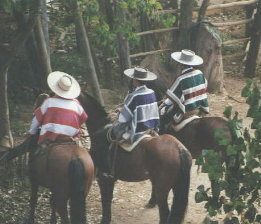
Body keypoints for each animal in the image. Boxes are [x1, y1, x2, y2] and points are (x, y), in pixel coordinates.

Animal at [78, 92, 192, 224]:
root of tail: (179, 148)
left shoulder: (104, 178)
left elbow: (106, 200)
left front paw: (105, 220)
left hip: (162, 190)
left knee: (164, 214)